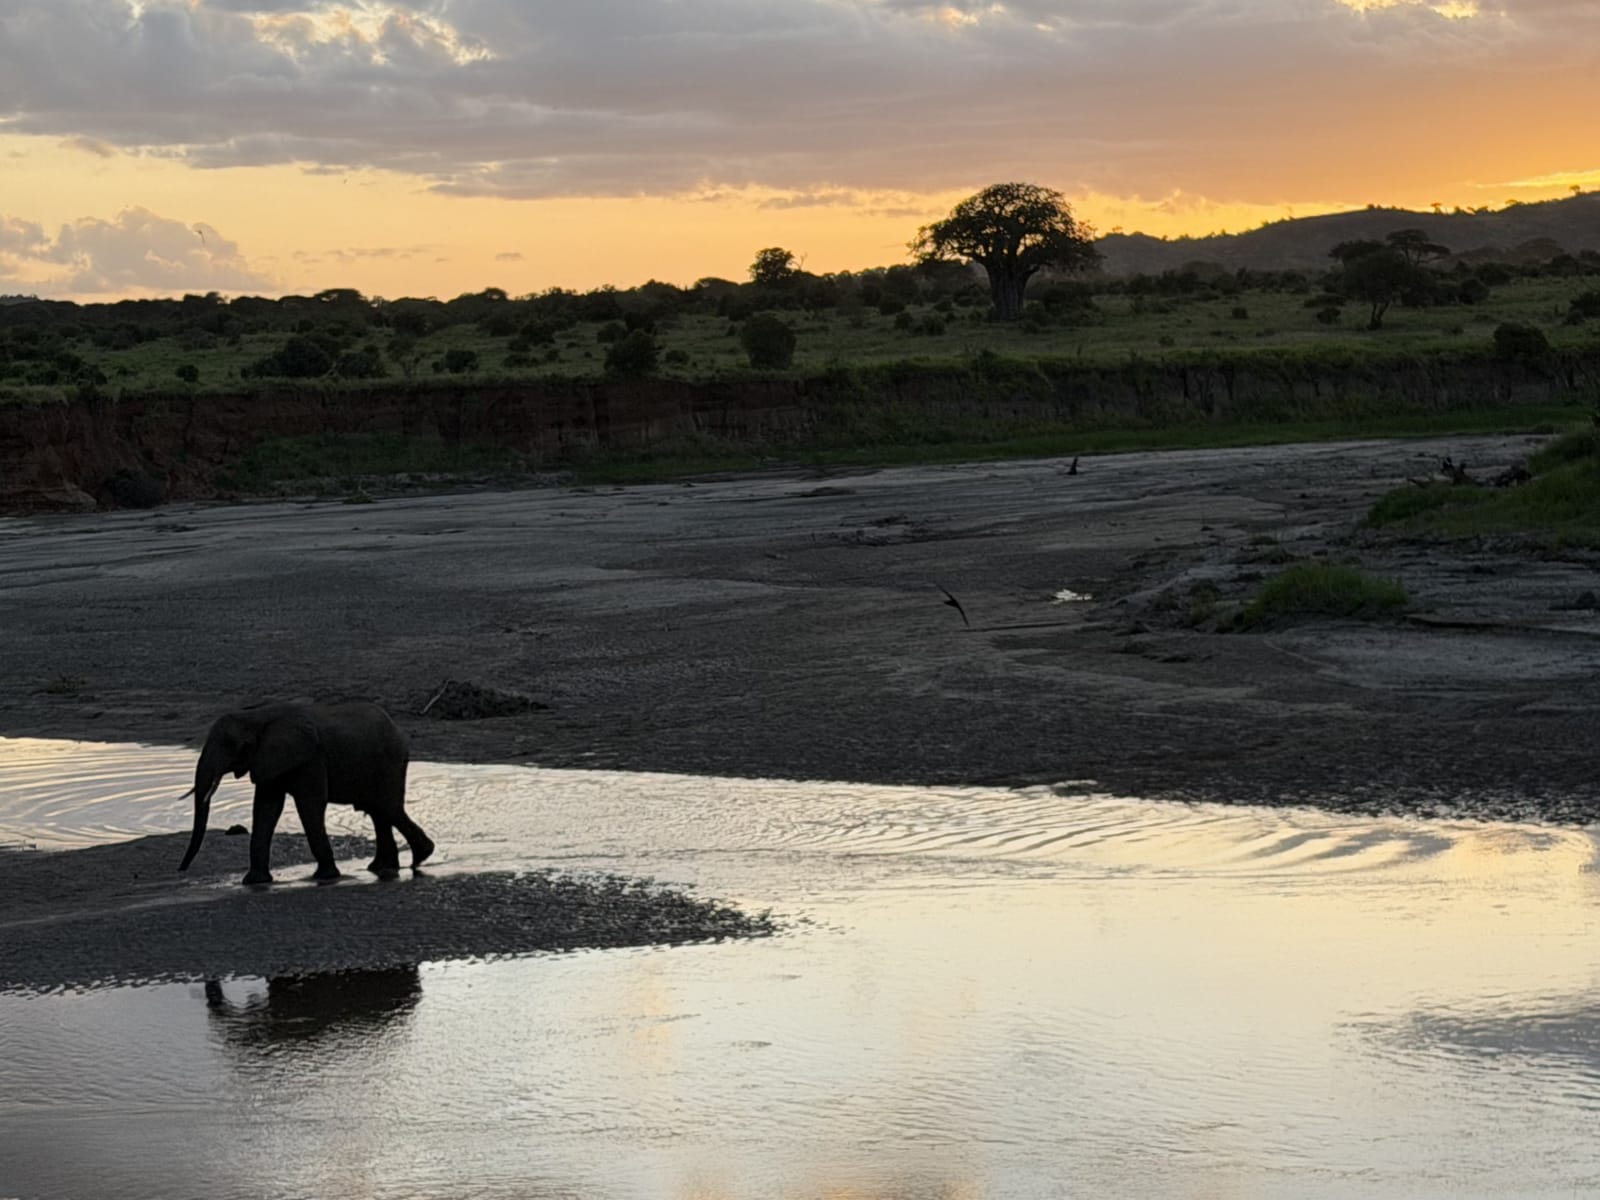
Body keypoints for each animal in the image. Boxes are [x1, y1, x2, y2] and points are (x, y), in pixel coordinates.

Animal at [178, 700, 434, 885]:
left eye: (231, 745)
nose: (181, 870)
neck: (258, 716)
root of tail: (398, 730)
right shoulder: (269, 760)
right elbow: (266, 808)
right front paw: (253, 882)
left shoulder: (310, 758)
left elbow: (309, 804)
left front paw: (325, 876)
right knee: (377, 810)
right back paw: (383, 868)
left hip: (390, 761)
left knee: (385, 806)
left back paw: (420, 856)